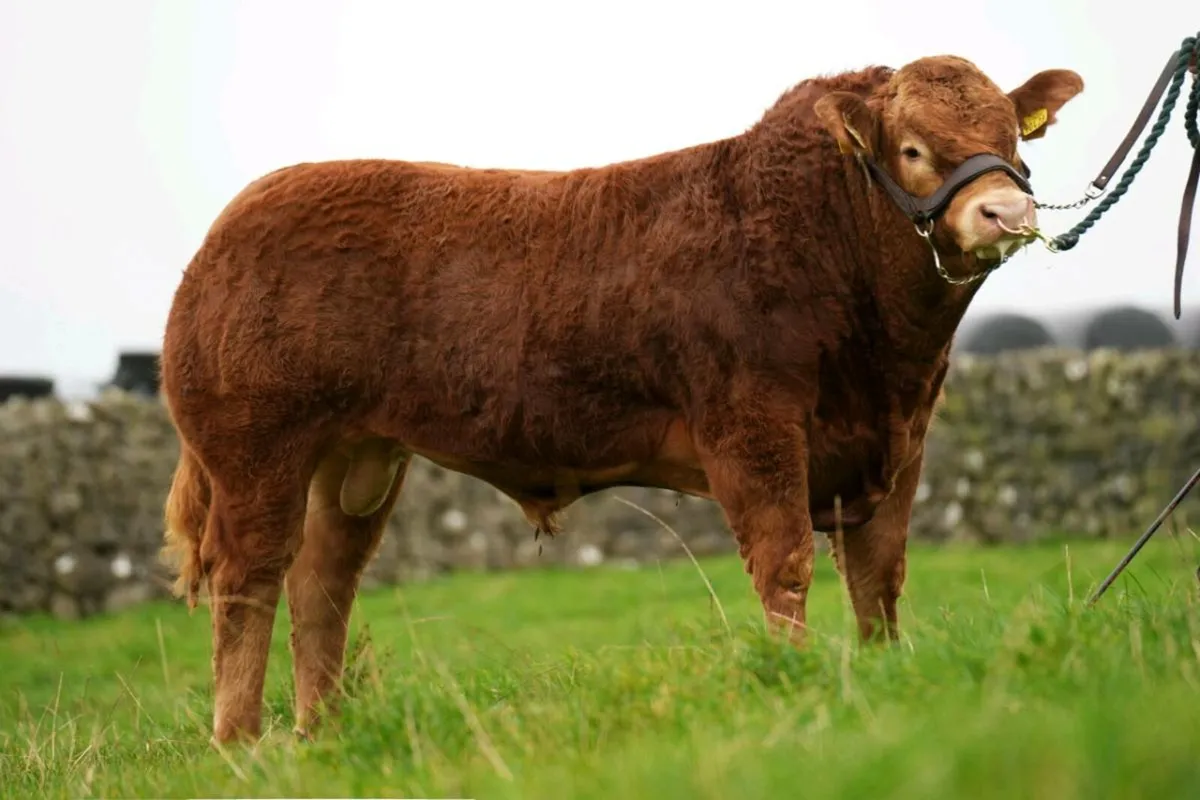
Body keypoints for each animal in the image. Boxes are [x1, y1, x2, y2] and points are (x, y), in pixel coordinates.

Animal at [159, 54, 1083, 744]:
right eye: (916, 149)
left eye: (1013, 135)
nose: (1005, 209)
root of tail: (231, 225)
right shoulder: (751, 427)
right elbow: (784, 561)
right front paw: (795, 677)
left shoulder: (902, 437)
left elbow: (879, 573)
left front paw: (885, 669)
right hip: (255, 449)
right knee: (249, 581)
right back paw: (241, 745)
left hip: (358, 456)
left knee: (323, 581)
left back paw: (323, 734)